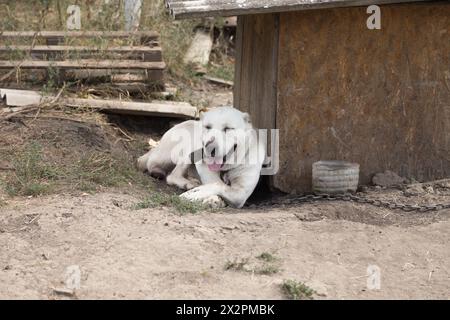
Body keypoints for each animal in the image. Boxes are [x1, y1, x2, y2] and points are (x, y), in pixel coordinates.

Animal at [135, 106, 266, 209]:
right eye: (207, 127)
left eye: (228, 128)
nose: (209, 146)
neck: (225, 169)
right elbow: (215, 183)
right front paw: (208, 197)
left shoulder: (241, 193)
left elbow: (217, 185)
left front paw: (199, 194)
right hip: (187, 149)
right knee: (171, 175)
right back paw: (187, 183)